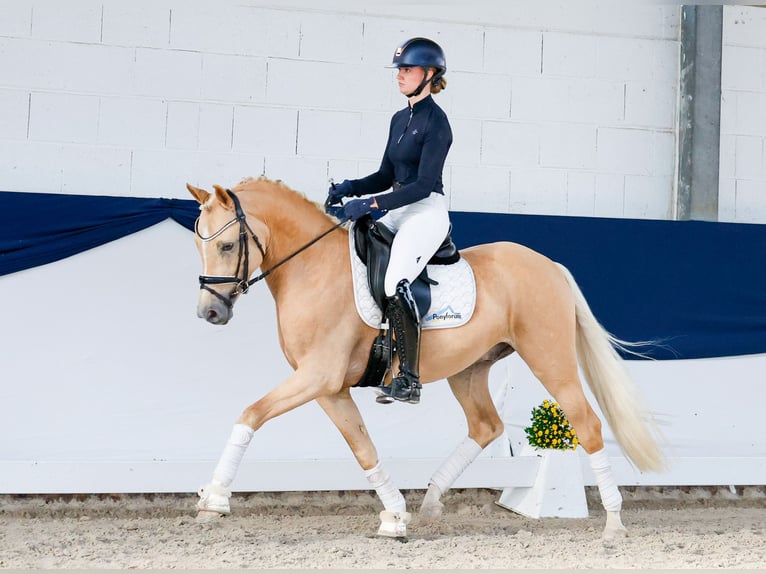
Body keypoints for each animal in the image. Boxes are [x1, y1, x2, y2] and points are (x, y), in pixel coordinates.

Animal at [186, 176, 664, 540]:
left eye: (226, 246)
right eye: (199, 245)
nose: (209, 313)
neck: (313, 269)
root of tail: (550, 265)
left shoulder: (317, 378)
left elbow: (251, 414)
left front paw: (214, 499)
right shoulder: (329, 388)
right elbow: (363, 448)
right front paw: (396, 516)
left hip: (550, 359)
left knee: (586, 423)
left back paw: (614, 524)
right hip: (469, 369)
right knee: (486, 426)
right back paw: (432, 500)